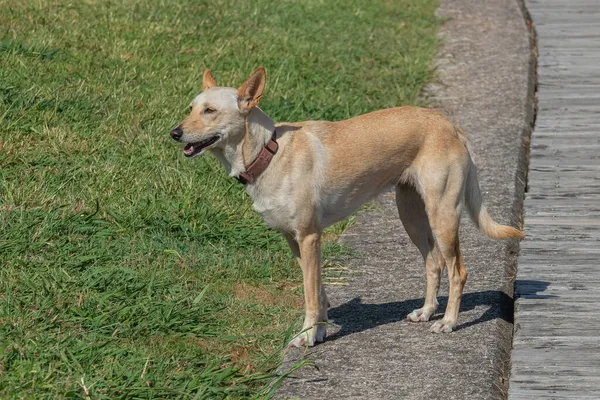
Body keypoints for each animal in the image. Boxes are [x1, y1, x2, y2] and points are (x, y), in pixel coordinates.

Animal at [168, 66, 520, 346]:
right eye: (190, 108)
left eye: (210, 111)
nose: (174, 132)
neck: (270, 152)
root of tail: (449, 124)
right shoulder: (295, 241)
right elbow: (319, 291)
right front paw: (320, 331)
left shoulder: (309, 237)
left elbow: (311, 295)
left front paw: (306, 336)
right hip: (412, 216)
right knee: (433, 263)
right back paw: (427, 312)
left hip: (442, 216)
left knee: (457, 270)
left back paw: (448, 321)